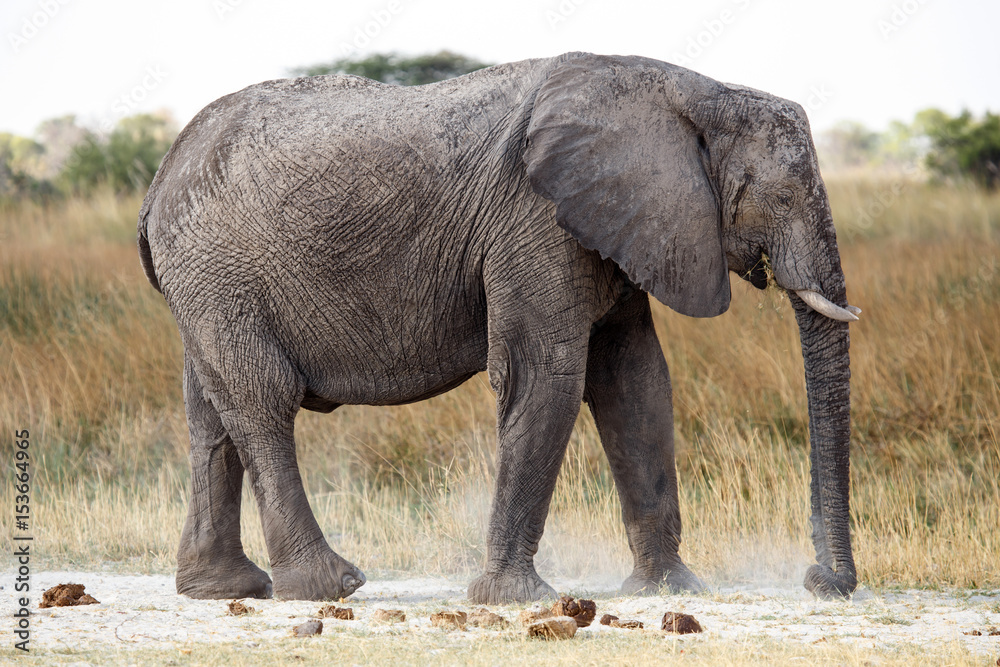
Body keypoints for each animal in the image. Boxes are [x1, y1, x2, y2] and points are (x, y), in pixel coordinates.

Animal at [137, 52, 861, 604]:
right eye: (783, 196)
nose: (822, 580)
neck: (692, 91)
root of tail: (157, 181)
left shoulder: (616, 223)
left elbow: (635, 381)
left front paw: (671, 590)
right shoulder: (536, 218)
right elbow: (548, 377)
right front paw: (516, 599)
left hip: (203, 281)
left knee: (210, 414)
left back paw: (224, 588)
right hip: (218, 268)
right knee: (262, 402)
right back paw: (329, 586)